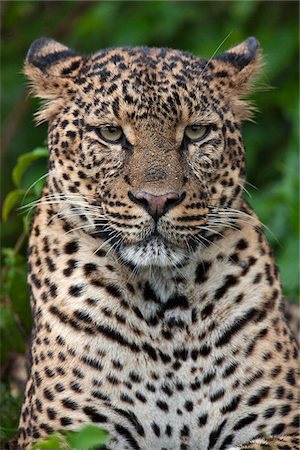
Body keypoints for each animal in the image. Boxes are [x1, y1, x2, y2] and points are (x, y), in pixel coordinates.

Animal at [11, 37, 298, 448]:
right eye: (111, 133)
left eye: (196, 132)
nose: (157, 200)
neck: (167, 314)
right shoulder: (58, 435)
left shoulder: (283, 428)